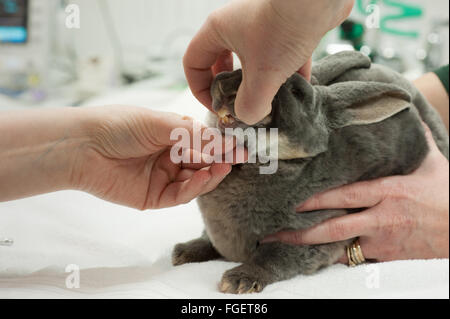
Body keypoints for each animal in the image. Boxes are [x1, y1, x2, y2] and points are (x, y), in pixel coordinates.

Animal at [171, 52, 448, 296]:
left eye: (297, 93)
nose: (226, 84)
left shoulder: (315, 232)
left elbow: (274, 256)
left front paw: (239, 280)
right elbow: (208, 239)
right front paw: (184, 252)